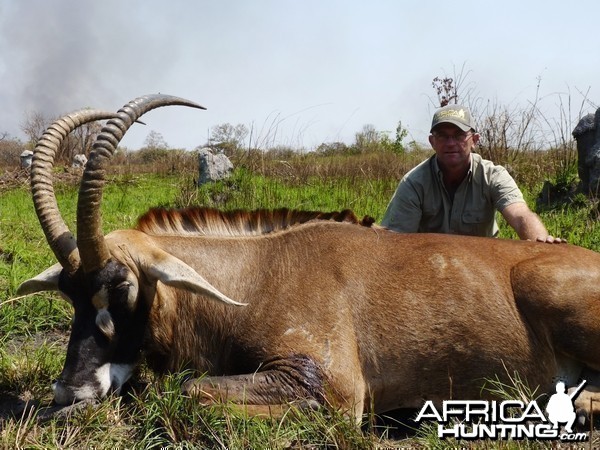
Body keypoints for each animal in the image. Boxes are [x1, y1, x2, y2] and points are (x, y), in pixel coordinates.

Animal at [17, 94, 600, 422]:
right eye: (69, 295)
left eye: (123, 287)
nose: (67, 393)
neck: (255, 275)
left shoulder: (332, 389)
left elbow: (191, 389)